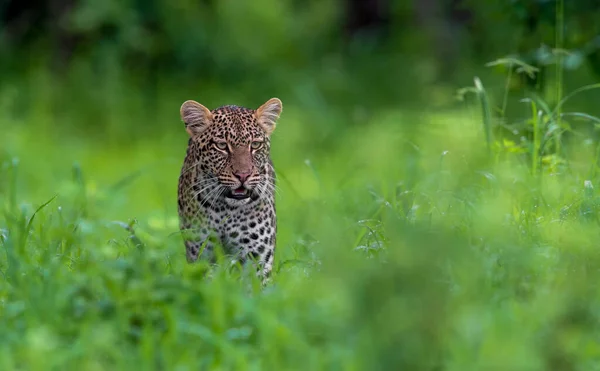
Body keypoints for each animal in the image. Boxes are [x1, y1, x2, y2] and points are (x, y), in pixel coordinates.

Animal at [176, 96, 284, 282]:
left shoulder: (258, 256)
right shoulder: (201, 252)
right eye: (221, 146)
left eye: (255, 144)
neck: (226, 210)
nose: (243, 175)